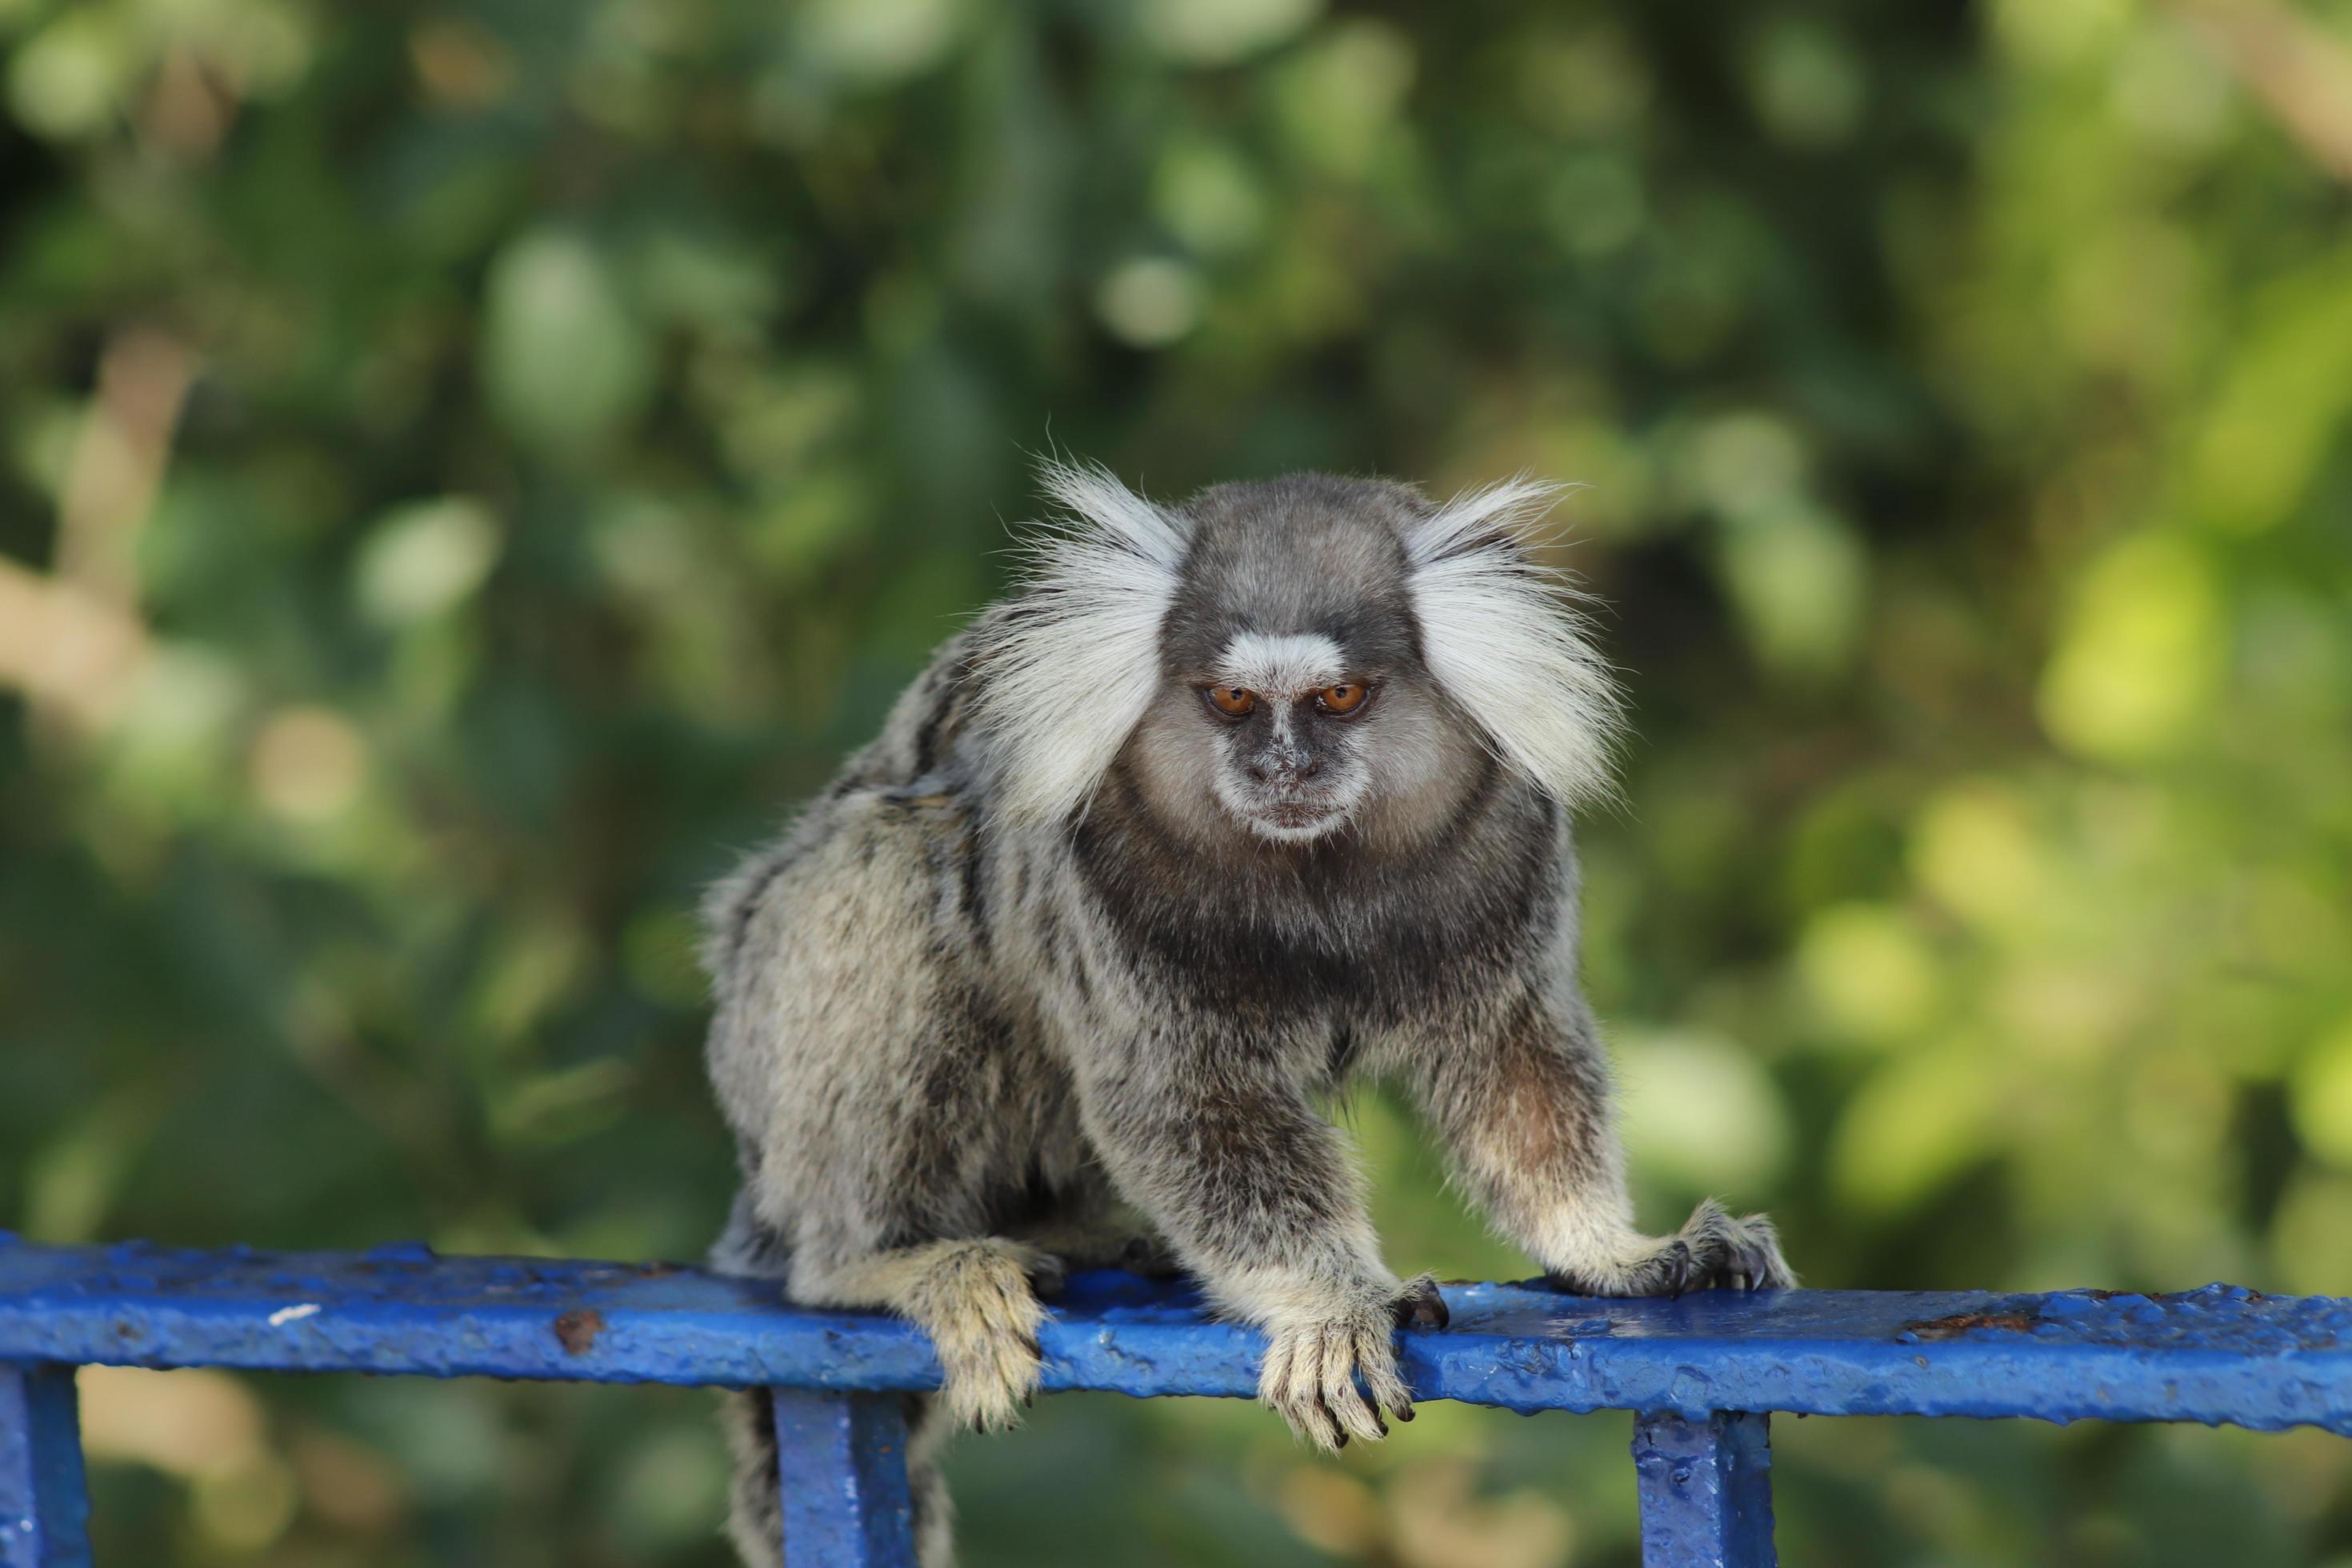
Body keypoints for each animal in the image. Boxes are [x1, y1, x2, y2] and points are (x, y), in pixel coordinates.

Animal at [696, 460, 1778, 1561]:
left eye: (1337, 697)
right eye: (1232, 700)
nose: (1281, 768)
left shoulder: (1505, 837)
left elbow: (1516, 1063)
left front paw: (1612, 1248)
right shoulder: (1104, 866)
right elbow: (1183, 1102)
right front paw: (1331, 1304)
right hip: (768, 1028)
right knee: (900, 871)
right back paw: (882, 1260)